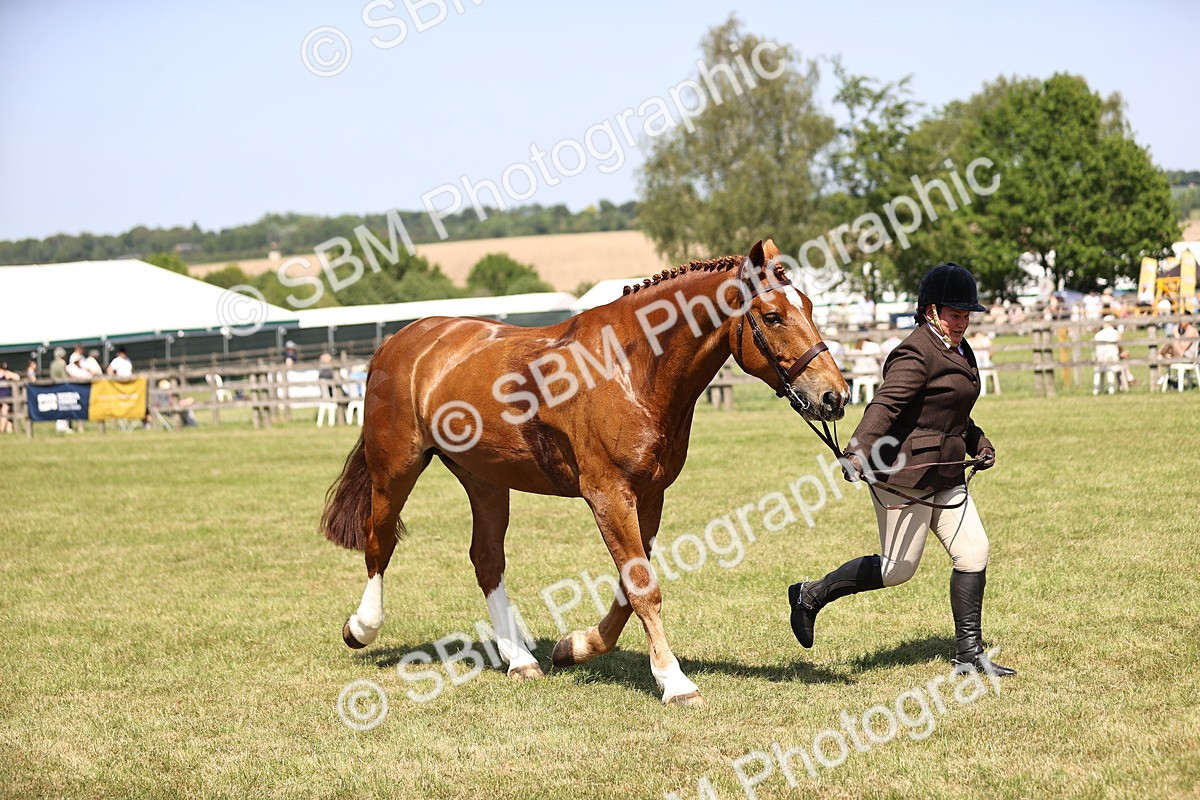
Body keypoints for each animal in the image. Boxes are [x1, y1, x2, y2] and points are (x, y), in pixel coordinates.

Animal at [320, 239, 849, 705]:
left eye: (808, 306)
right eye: (773, 316)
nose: (835, 396)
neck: (631, 367)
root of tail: (399, 341)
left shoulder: (648, 495)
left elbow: (630, 586)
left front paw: (574, 647)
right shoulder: (609, 495)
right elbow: (643, 587)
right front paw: (675, 682)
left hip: (485, 480)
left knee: (486, 559)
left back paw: (519, 659)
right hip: (396, 468)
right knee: (379, 541)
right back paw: (361, 627)